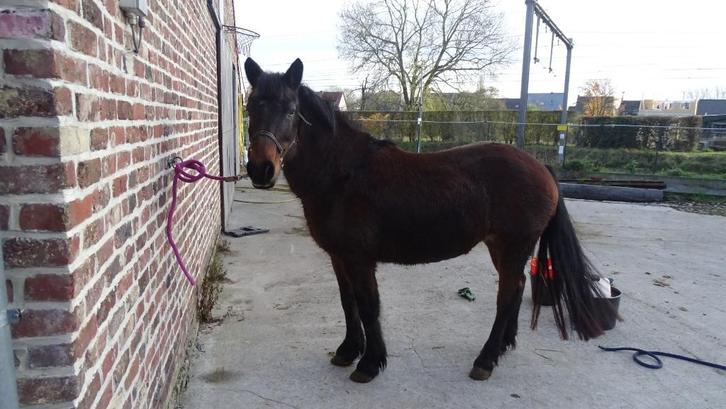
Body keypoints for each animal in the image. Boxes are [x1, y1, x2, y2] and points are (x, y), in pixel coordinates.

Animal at [243, 57, 608, 383]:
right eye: (250, 107)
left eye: (291, 110)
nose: (261, 170)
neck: (343, 173)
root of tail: (541, 167)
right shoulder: (338, 257)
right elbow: (348, 304)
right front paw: (348, 351)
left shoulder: (360, 259)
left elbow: (368, 306)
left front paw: (370, 364)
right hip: (501, 248)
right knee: (516, 288)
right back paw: (503, 346)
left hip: (514, 246)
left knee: (507, 295)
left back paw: (485, 360)